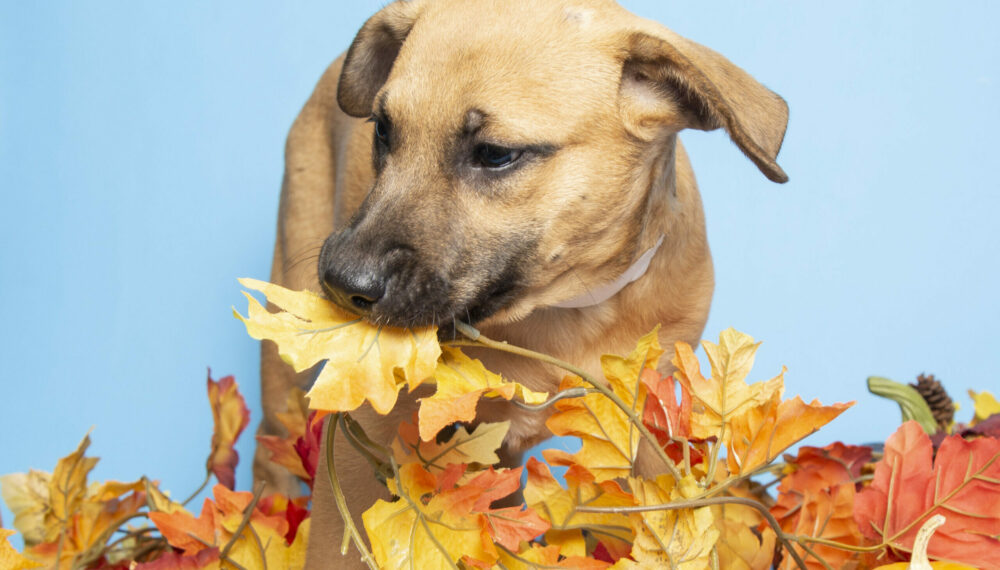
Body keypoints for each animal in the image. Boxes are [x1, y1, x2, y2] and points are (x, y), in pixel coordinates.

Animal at [256, 0, 788, 560]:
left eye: (495, 154)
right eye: (382, 129)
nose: (340, 280)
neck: (569, 306)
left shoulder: (651, 418)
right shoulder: (371, 433)